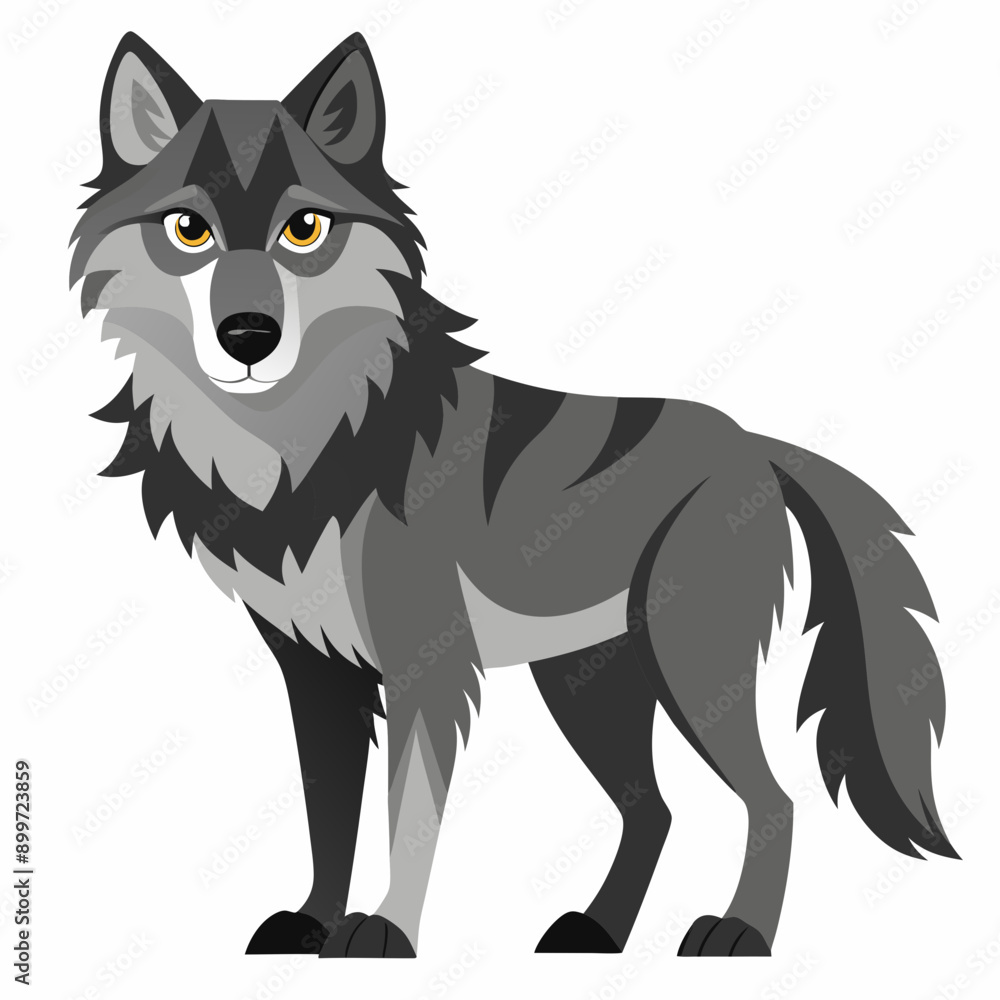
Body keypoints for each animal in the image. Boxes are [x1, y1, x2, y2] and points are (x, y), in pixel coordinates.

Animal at [71, 31, 957, 958]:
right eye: (189, 229)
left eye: (303, 229)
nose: (249, 336)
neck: (300, 446)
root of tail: (754, 443)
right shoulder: (315, 672)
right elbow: (328, 814)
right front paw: (314, 920)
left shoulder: (427, 665)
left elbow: (408, 814)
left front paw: (385, 930)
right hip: (587, 686)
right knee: (654, 810)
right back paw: (598, 929)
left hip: (692, 669)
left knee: (772, 799)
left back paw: (740, 931)